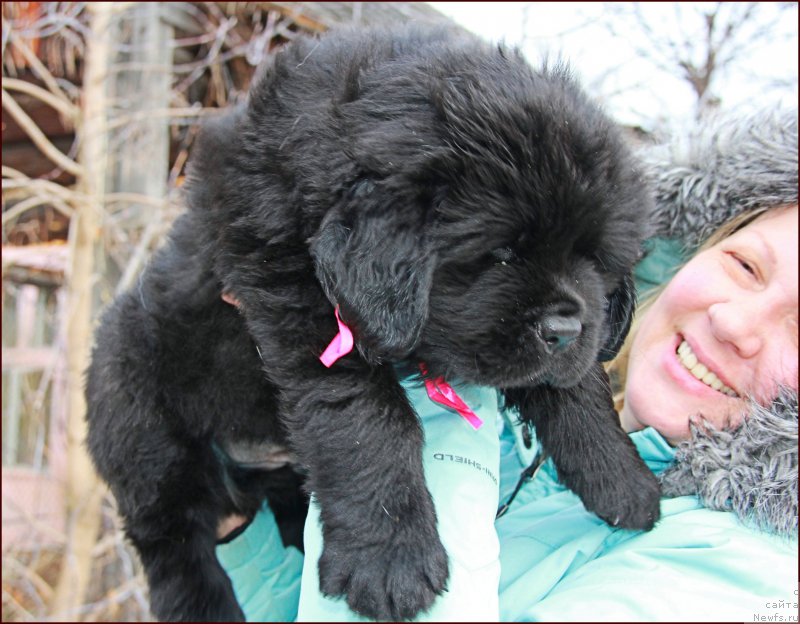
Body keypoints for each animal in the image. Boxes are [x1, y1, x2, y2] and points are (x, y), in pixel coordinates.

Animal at [87, 25, 660, 624]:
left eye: (594, 257)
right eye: (502, 253)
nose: (564, 332)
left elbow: (576, 390)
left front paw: (623, 482)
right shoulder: (301, 296)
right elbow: (367, 418)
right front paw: (391, 563)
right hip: (145, 432)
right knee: (172, 542)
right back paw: (207, 605)